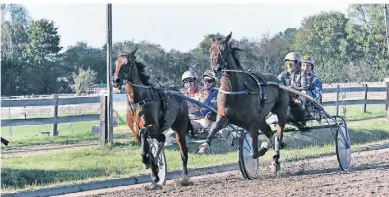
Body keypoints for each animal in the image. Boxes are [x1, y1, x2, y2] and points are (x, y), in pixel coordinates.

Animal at [113, 48, 193, 189]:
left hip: (180, 129)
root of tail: (180, 94)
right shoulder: (135, 132)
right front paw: (154, 172)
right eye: (115, 63)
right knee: (162, 139)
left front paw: (149, 164)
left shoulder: (152, 127)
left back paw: (185, 178)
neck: (138, 102)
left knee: (183, 152)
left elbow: (145, 134)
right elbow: (146, 149)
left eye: (128, 63)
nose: (116, 80)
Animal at [199, 32, 290, 172]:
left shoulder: (252, 123)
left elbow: (253, 153)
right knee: (269, 131)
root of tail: (278, 81)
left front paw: (263, 147)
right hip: (261, 118)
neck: (235, 91)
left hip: (280, 111)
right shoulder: (224, 116)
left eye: (225, 50)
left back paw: (275, 160)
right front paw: (205, 145)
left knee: (278, 134)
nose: (216, 69)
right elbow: (215, 127)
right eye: (210, 50)